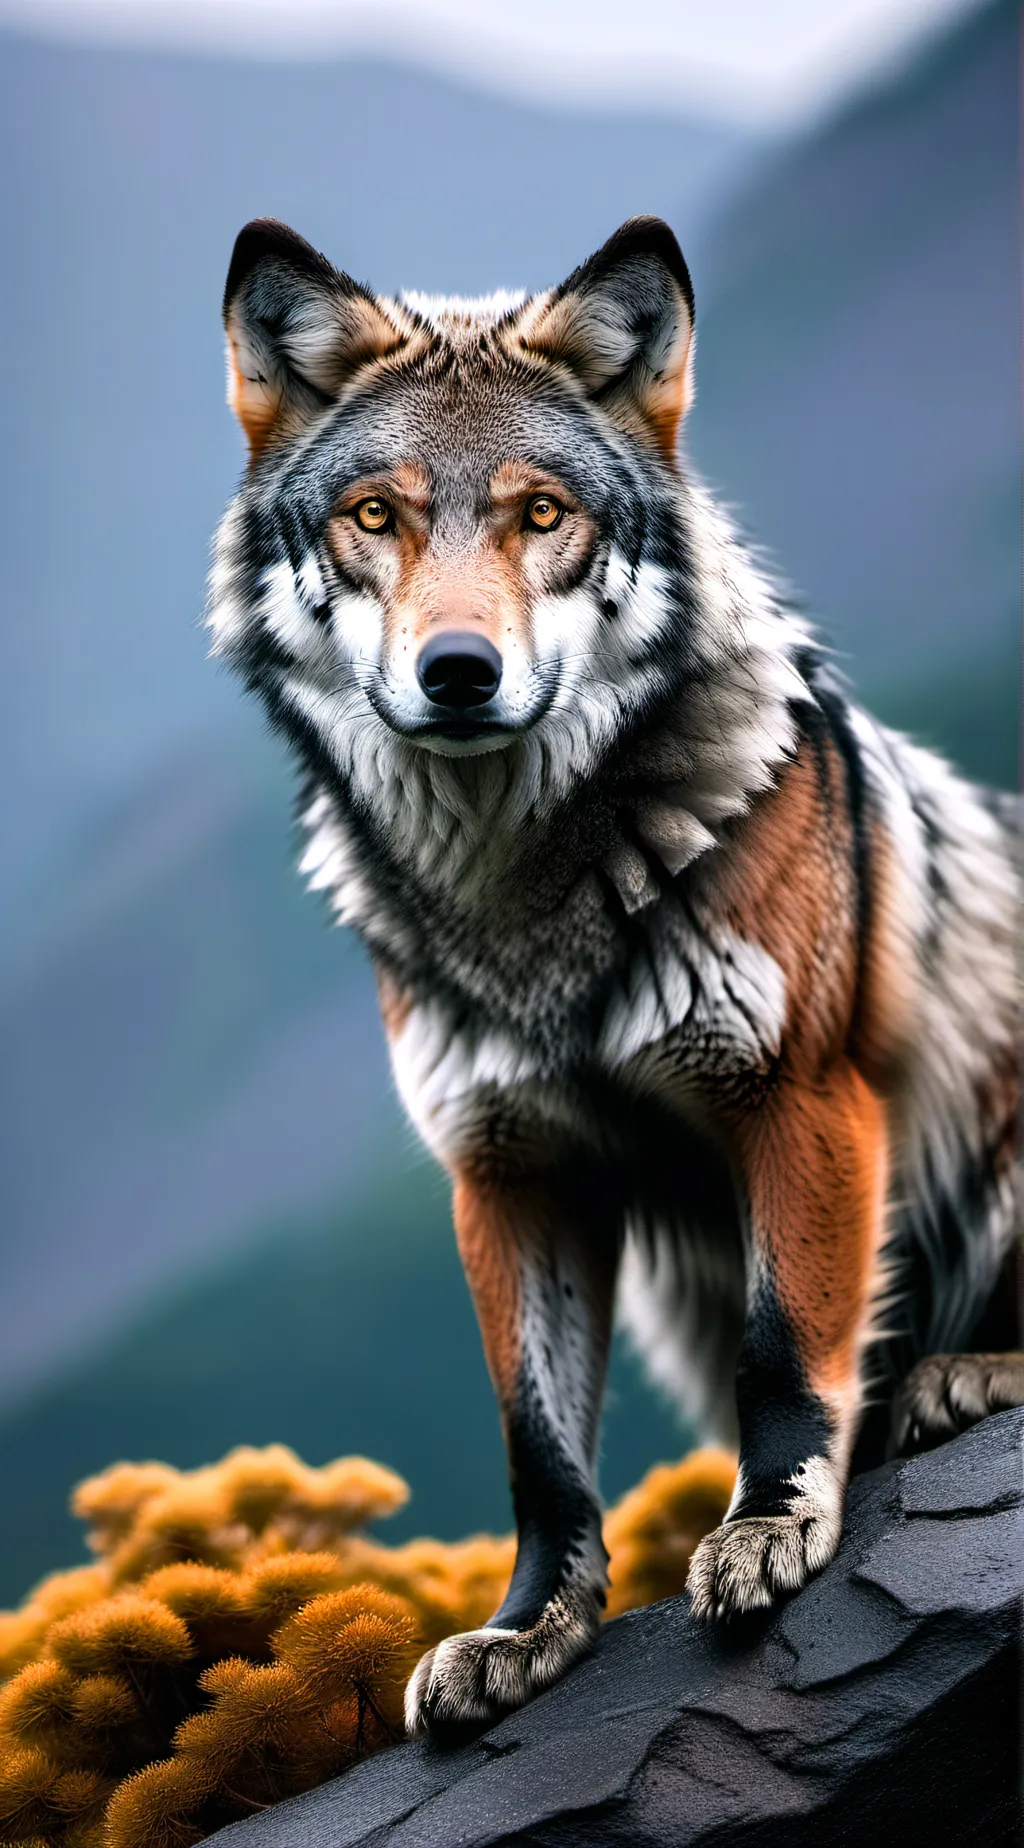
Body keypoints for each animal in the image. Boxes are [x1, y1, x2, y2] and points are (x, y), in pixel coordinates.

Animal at [208, 216, 1022, 1736]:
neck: (525, 908)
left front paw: (766, 1531)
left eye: (541, 516)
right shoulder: (510, 1173)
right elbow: (539, 1450)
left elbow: (786, 1349)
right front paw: (530, 1632)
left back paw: (970, 1375)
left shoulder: (797, 1101)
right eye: (375, 518)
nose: (457, 672)